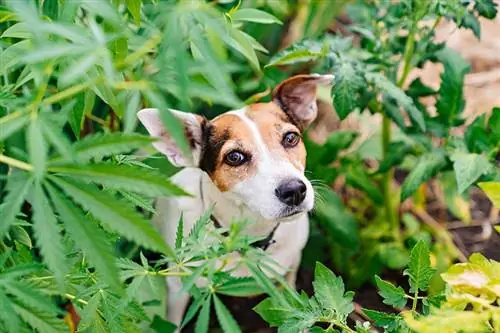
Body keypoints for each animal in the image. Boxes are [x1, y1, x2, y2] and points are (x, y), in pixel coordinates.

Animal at [138, 74, 332, 326]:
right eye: (235, 157)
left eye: (291, 138)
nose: (294, 190)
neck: (251, 235)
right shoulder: (178, 287)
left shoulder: (291, 266)